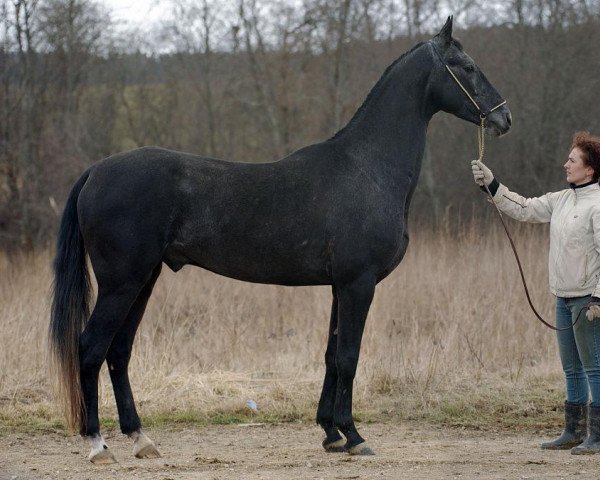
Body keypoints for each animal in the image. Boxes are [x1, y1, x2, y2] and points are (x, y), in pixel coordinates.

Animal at [50, 16, 510, 464]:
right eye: (467, 67)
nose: (504, 119)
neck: (368, 169)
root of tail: (95, 171)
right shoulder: (358, 283)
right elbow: (349, 356)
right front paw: (354, 435)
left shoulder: (340, 286)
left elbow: (331, 355)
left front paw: (331, 433)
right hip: (121, 283)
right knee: (90, 348)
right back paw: (97, 445)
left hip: (144, 280)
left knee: (118, 351)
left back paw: (140, 438)